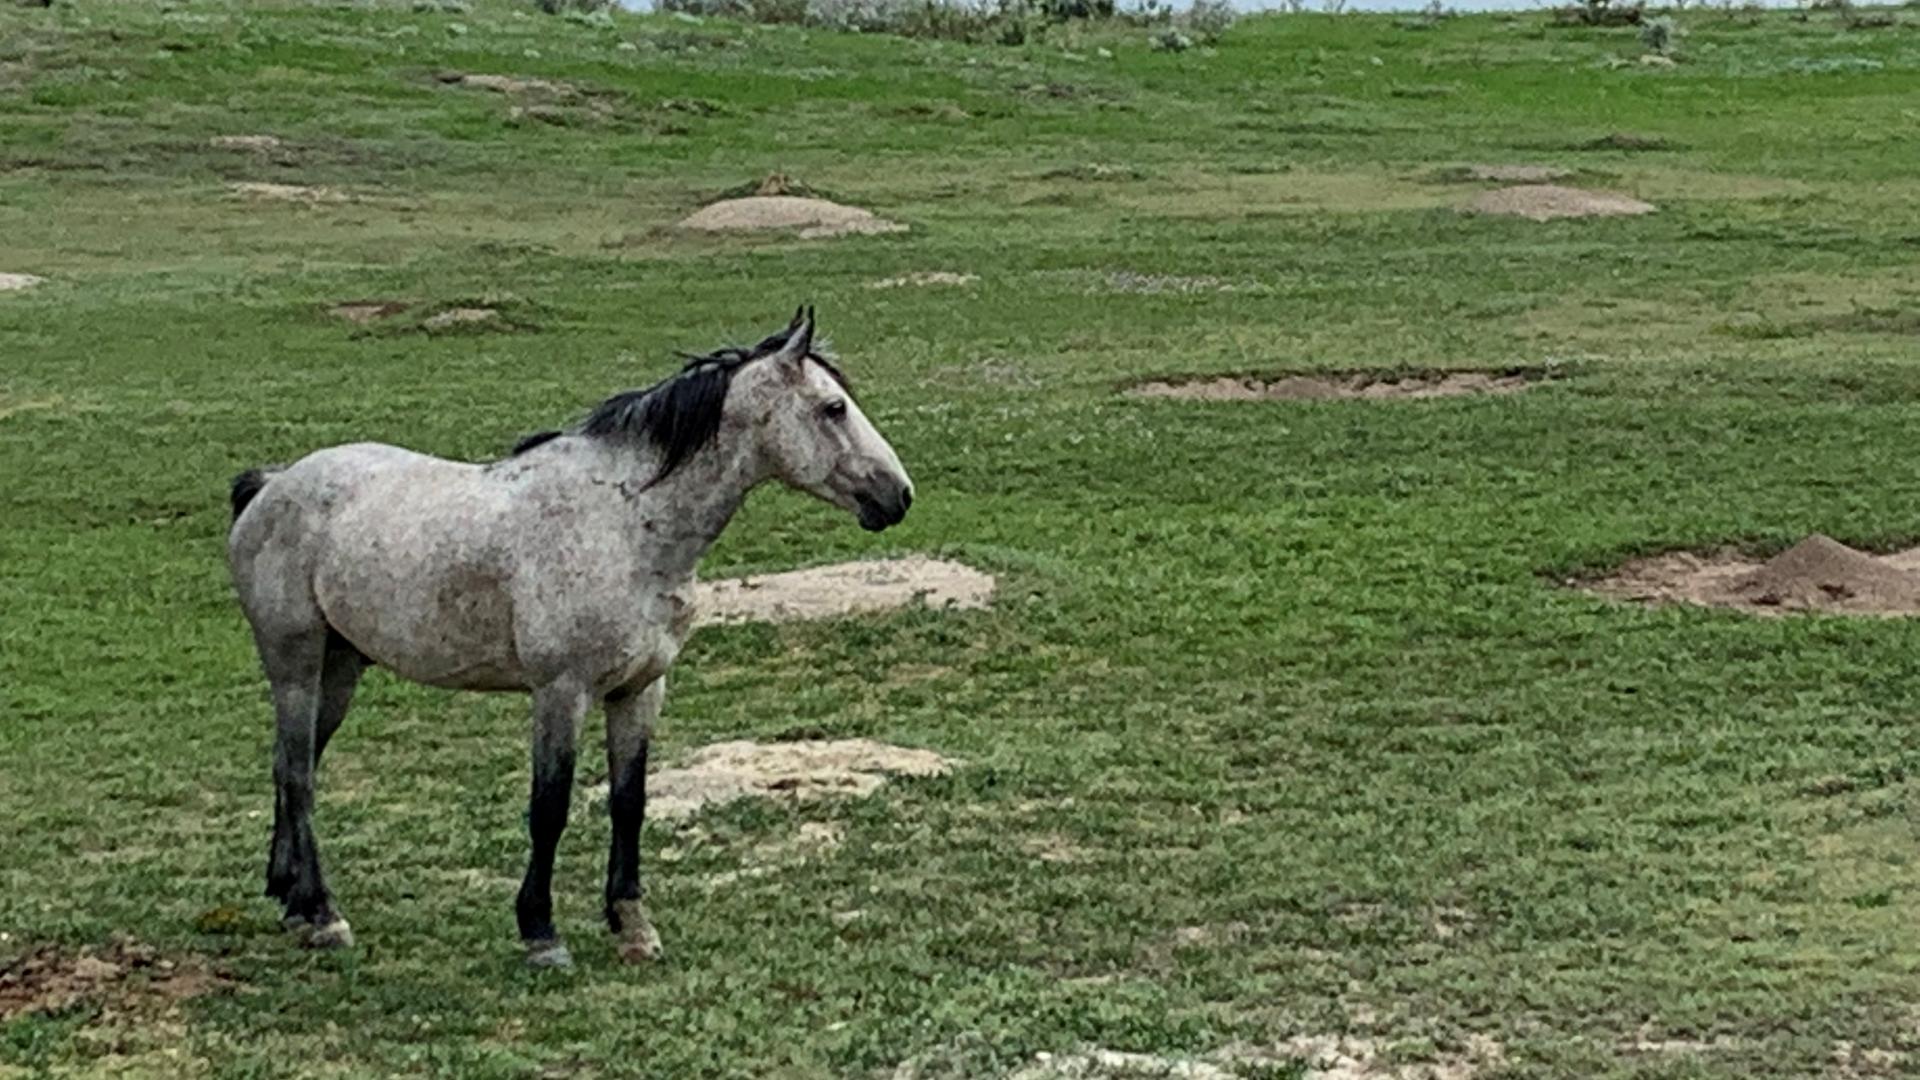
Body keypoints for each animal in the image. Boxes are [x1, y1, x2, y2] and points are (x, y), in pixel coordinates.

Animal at [224, 307, 913, 960]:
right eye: (833, 408)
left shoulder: (640, 690)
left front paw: (633, 925)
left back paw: (290, 900)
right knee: (297, 774)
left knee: (292, 766)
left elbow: (629, 803)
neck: (626, 526)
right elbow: (549, 806)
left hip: (340, 667)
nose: (898, 496)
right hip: (295, 662)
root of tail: (273, 485)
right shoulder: (562, 690)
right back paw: (323, 914)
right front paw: (540, 931)